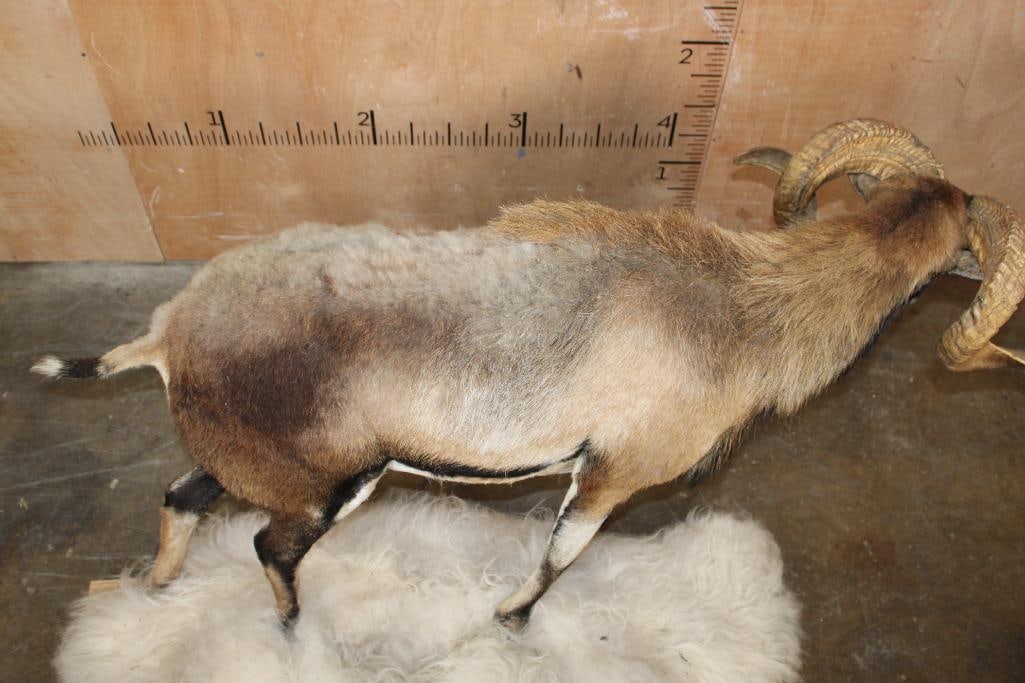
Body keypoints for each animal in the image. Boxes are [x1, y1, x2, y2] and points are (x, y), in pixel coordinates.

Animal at [32, 119, 1025, 630]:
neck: (742, 308)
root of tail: (168, 332)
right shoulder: (611, 472)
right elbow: (561, 554)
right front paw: (509, 620)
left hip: (245, 464)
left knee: (178, 500)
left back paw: (153, 593)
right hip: (325, 487)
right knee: (268, 551)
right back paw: (293, 633)